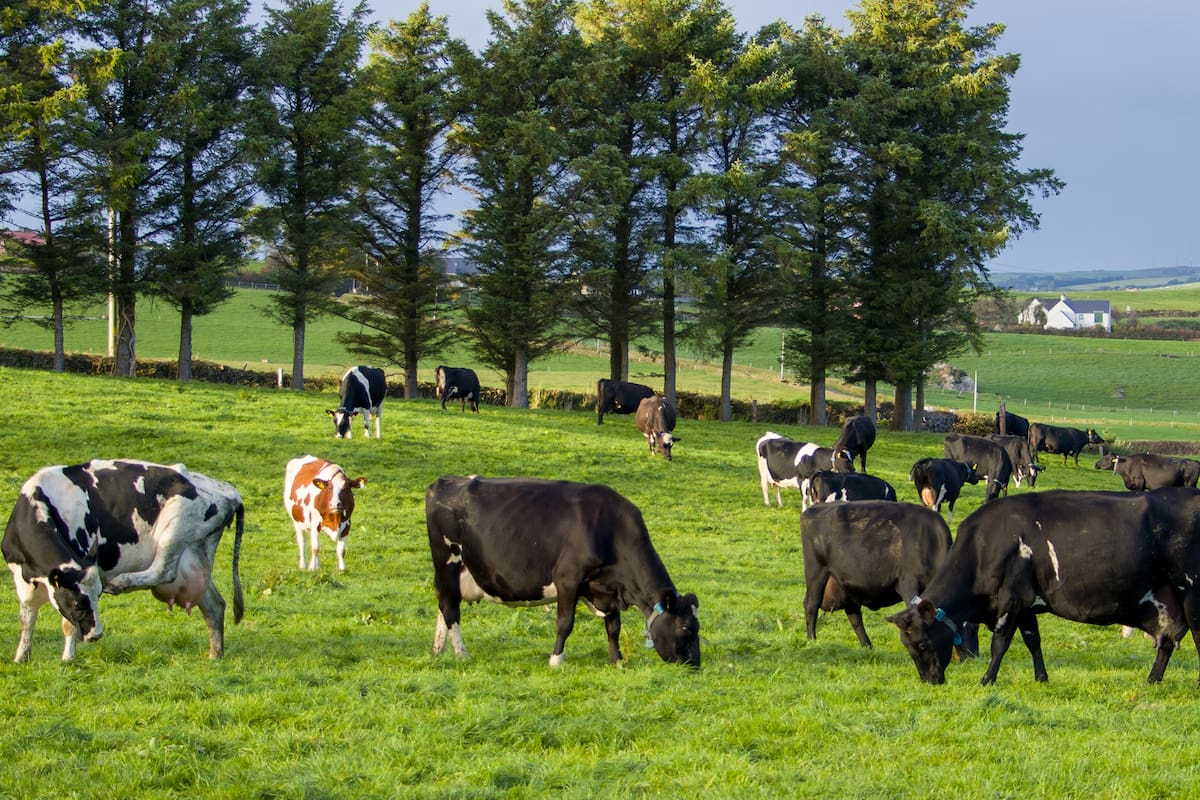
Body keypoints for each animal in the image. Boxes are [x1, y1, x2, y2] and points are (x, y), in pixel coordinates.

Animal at [2, 459, 244, 663]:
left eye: (96, 597)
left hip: (175, 526)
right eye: (79, 603)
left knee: (163, 570)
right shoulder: (22, 578)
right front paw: (22, 657)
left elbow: (67, 624)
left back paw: (120, 583)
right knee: (214, 605)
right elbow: (27, 618)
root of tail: (228, 491)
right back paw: (215, 655)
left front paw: (67, 658)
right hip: (196, 556)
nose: (96, 635)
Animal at [424, 476, 700, 667]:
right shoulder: (568, 580)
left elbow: (613, 627)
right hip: (448, 562)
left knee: (443, 604)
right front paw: (556, 660)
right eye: (687, 629)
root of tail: (444, 481)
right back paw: (462, 654)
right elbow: (565, 623)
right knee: (450, 609)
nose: (695, 665)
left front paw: (617, 660)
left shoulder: (607, 587)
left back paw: (438, 650)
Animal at [802, 501, 975, 653]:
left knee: (854, 615)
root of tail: (812, 509)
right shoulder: (908, 583)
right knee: (811, 605)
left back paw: (867, 647)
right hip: (816, 572)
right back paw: (812, 640)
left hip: (845, 586)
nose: (972, 656)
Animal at [887, 488, 1200, 686]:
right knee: (1167, 642)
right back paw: (1152, 680)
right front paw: (1041, 678)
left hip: (1191, 592)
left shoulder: (1011, 599)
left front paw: (987, 680)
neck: (985, 545)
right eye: (907, 646)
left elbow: (999, 644)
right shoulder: (1026, 604)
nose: (930, 681)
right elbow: (1032, 641)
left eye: (923, 643)